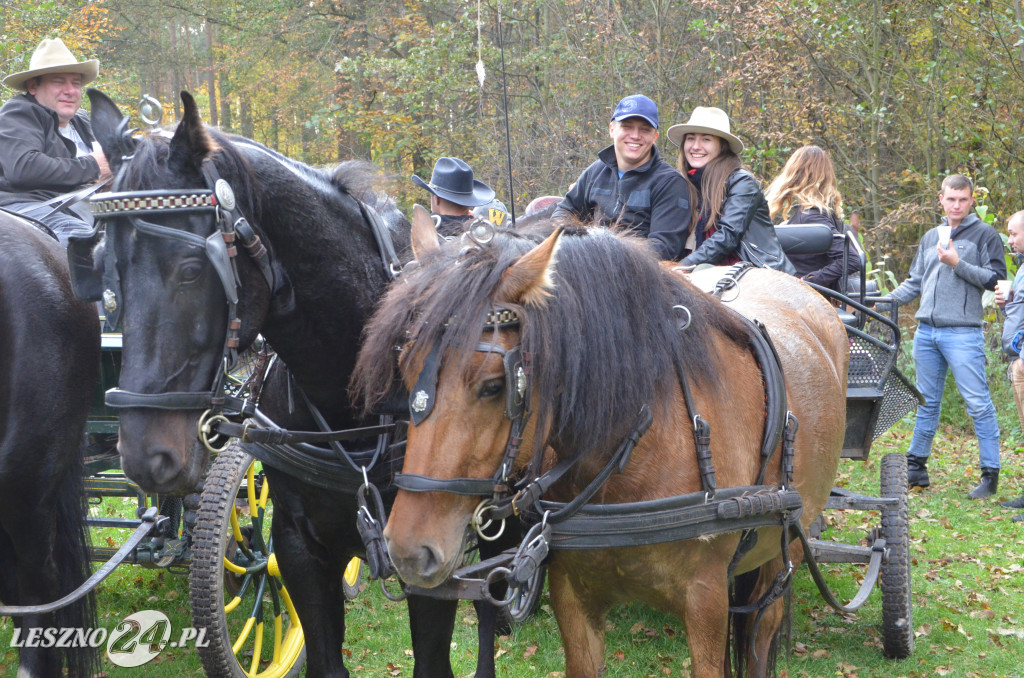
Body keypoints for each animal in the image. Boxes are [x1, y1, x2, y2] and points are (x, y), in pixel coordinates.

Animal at [352, 216, 847, 678]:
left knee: (763, 634)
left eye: (494, 386)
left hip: (784, 554)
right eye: (403, 367)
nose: (408, 551)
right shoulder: (572, 596)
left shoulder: (705, 602)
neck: (636, 452)